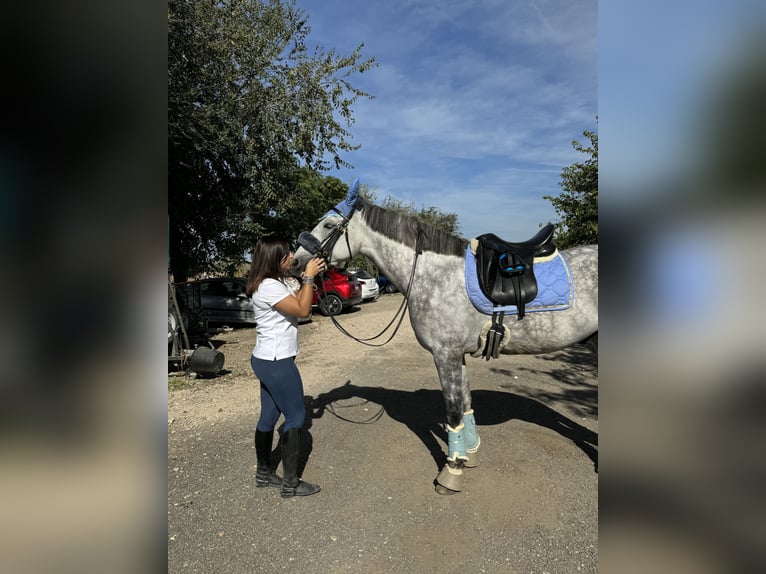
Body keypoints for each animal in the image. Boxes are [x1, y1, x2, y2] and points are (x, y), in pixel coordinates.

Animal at [292, 181, 596, 496]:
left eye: (329, 224)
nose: (295, 262)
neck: (434, 274)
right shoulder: (457, 355)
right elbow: (465, 404)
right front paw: (469, 455)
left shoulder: (445, 354)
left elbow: (452, 412)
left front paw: (451, 473)